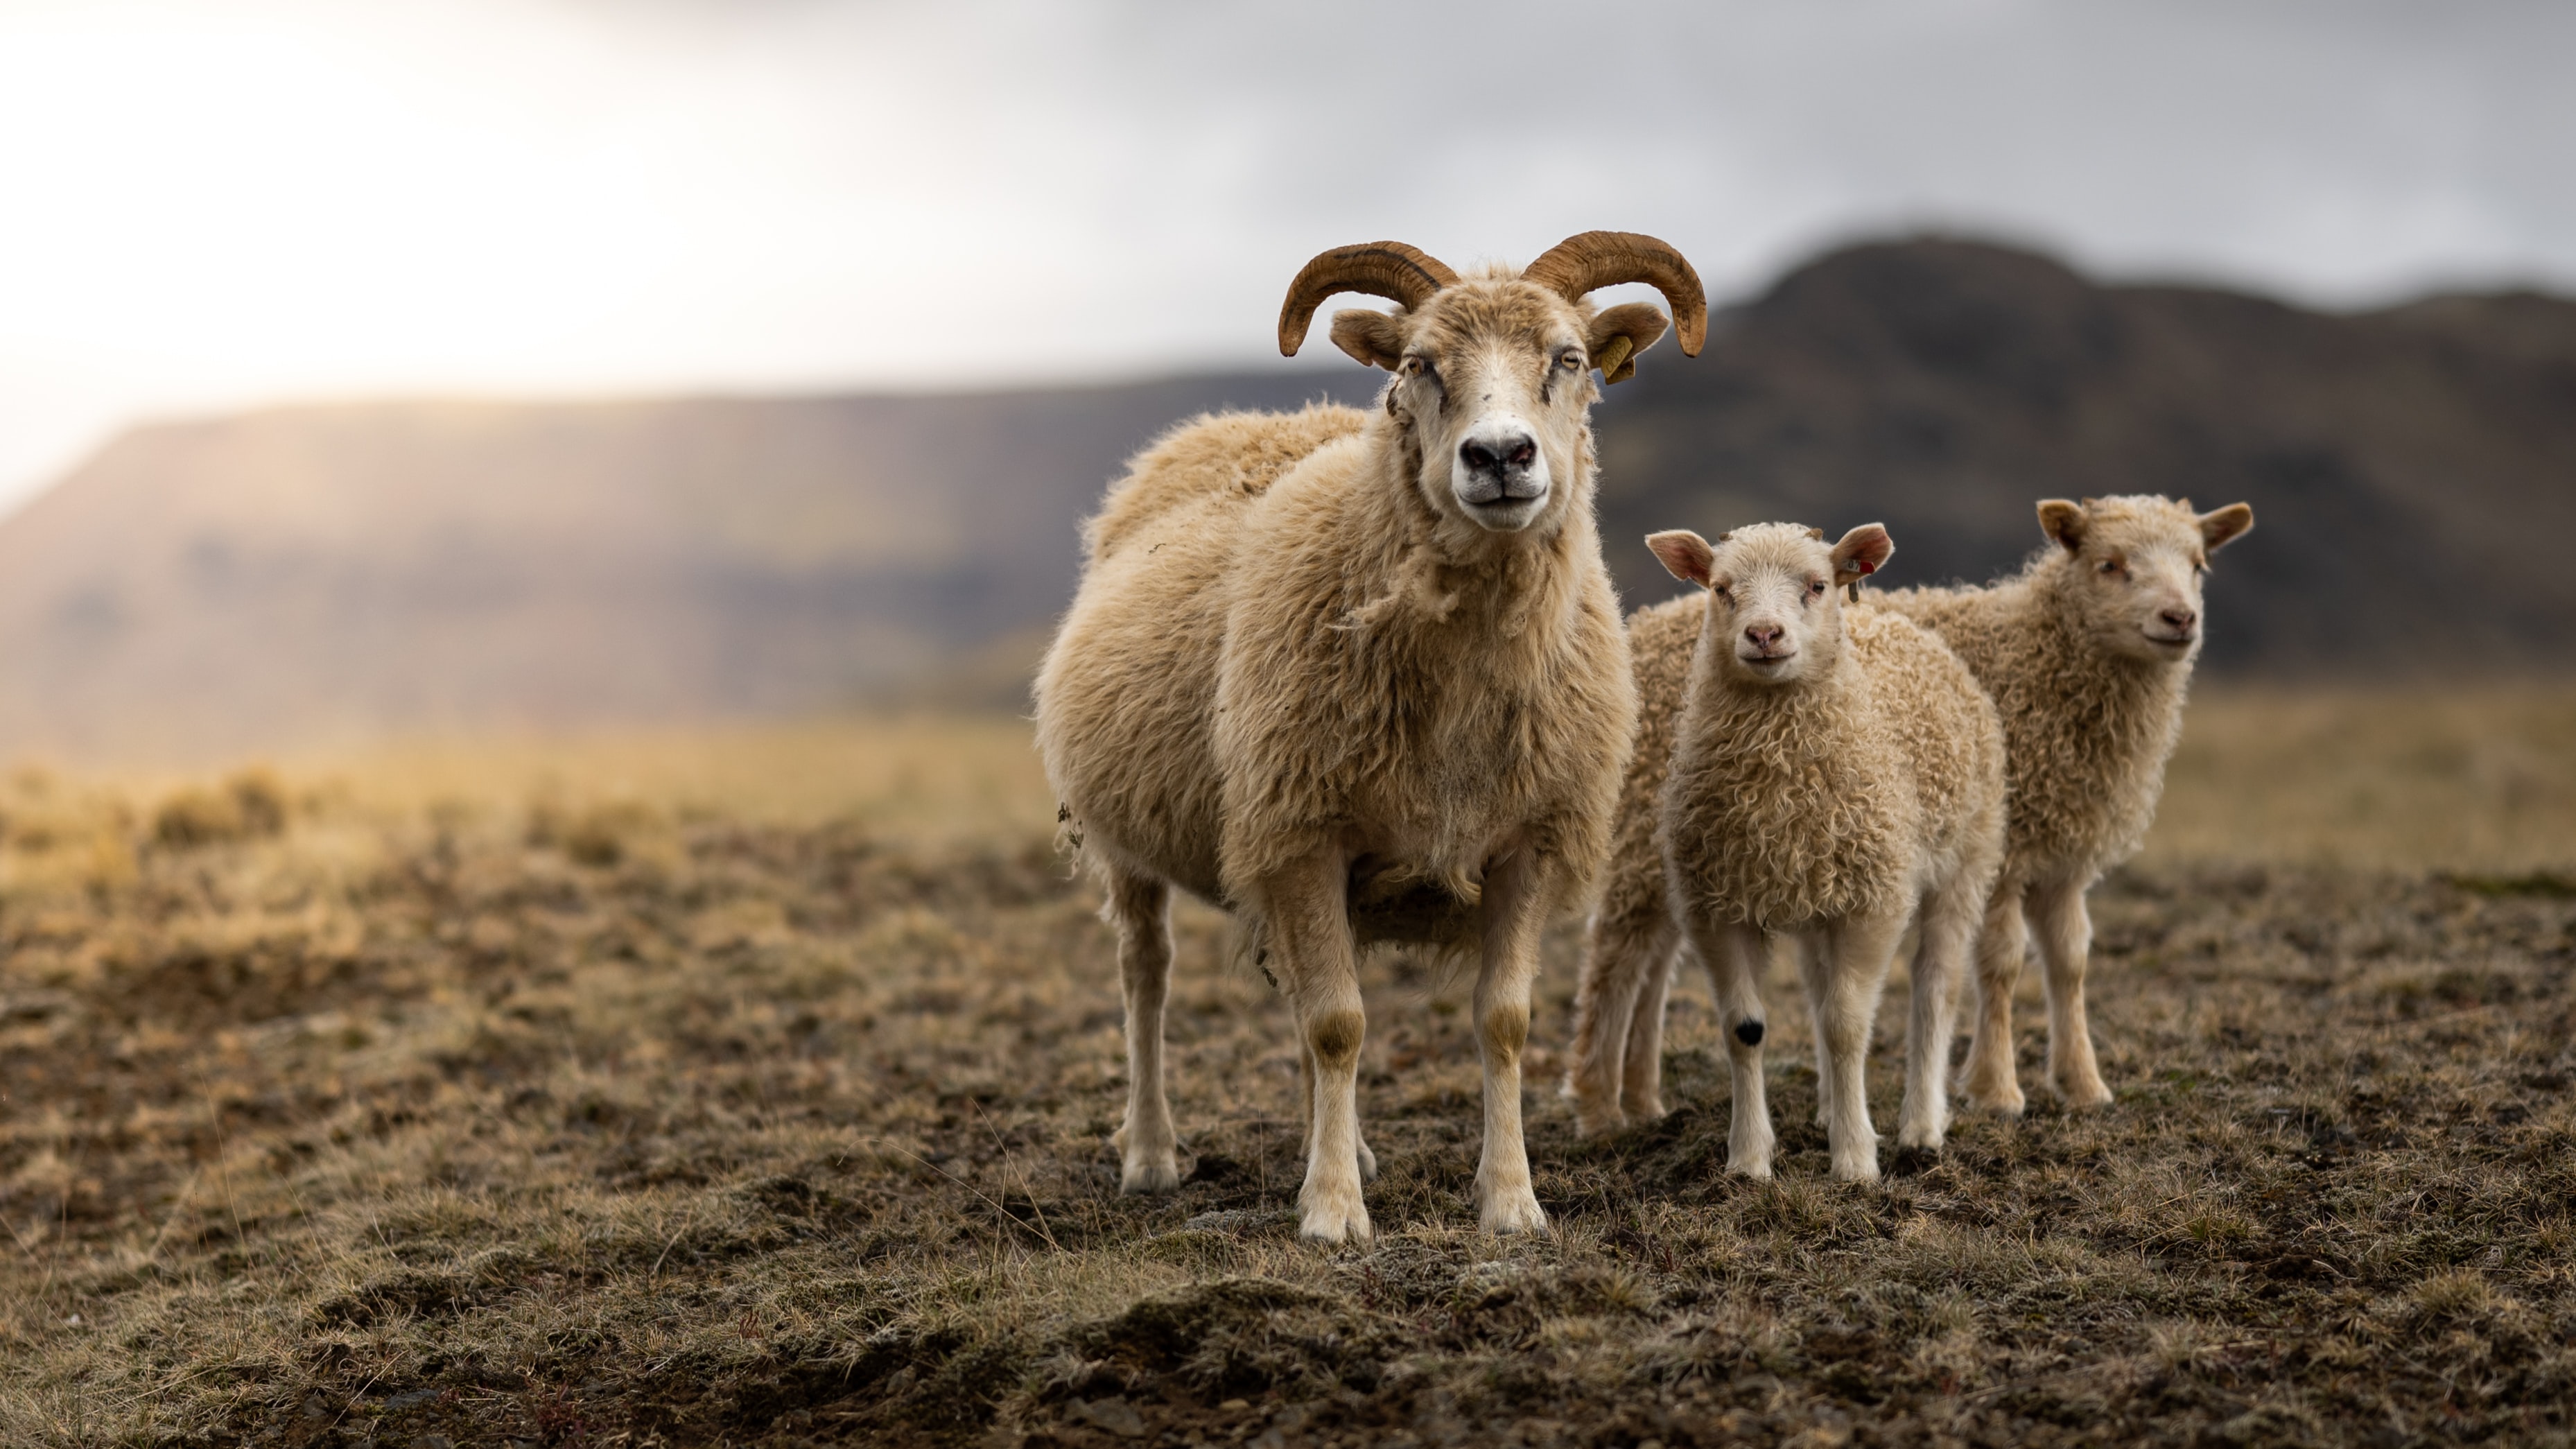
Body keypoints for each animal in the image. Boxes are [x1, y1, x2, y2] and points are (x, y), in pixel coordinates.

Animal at [1025, 230, 1710, 1238]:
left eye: (1569, 358)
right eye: (1418, 364)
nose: (1499, 455)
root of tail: (1230, 425)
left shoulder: (1525, 844)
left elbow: (1501, 1020)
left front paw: (1510, 1200)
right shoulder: (1306, 834)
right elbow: (1338, 1024)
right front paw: (1333, 1212)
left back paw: (1344, 1146)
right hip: (1135, 841)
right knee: (1146, 974)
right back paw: (1151, 1154)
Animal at [1556, 518, 1999, 1175]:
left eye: (1817, 585)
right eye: (1720, 588)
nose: (1764, 634)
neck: (1777, 789)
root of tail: (1901, 623)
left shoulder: (1872, 899)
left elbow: (1847, 1027)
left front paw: (1855, 1160)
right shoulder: (1718, 904)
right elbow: (1745, 1029)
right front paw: (1748, 1160)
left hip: (1964, 863)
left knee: (1934, 989)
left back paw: (1921, 1125)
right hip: (1795, 888)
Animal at [1875, 489, 2256, 1109]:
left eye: (2199, 566)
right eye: (2110, 564)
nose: (2181, 618)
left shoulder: (2065, 855)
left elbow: (2071, 960)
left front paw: (2083, 1082)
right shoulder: (2003, 850)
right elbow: (2002, 962)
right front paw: (1996, 1088)